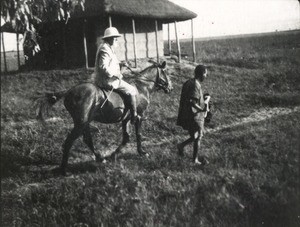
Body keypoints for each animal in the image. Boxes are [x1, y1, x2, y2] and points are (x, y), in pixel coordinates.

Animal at [35, 60, 172, 174]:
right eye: (166, 73)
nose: (171, 88)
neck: (142, 87)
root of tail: (69, 91)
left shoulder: (126, 120)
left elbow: (126, 138)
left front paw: (113, 155)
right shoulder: (139, 116)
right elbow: (138, 135)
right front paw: (142, 152)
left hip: (85, 123)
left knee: (87, 140)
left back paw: (100, 158)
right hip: (81, 123)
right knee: (69, 142)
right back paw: (64, 169)